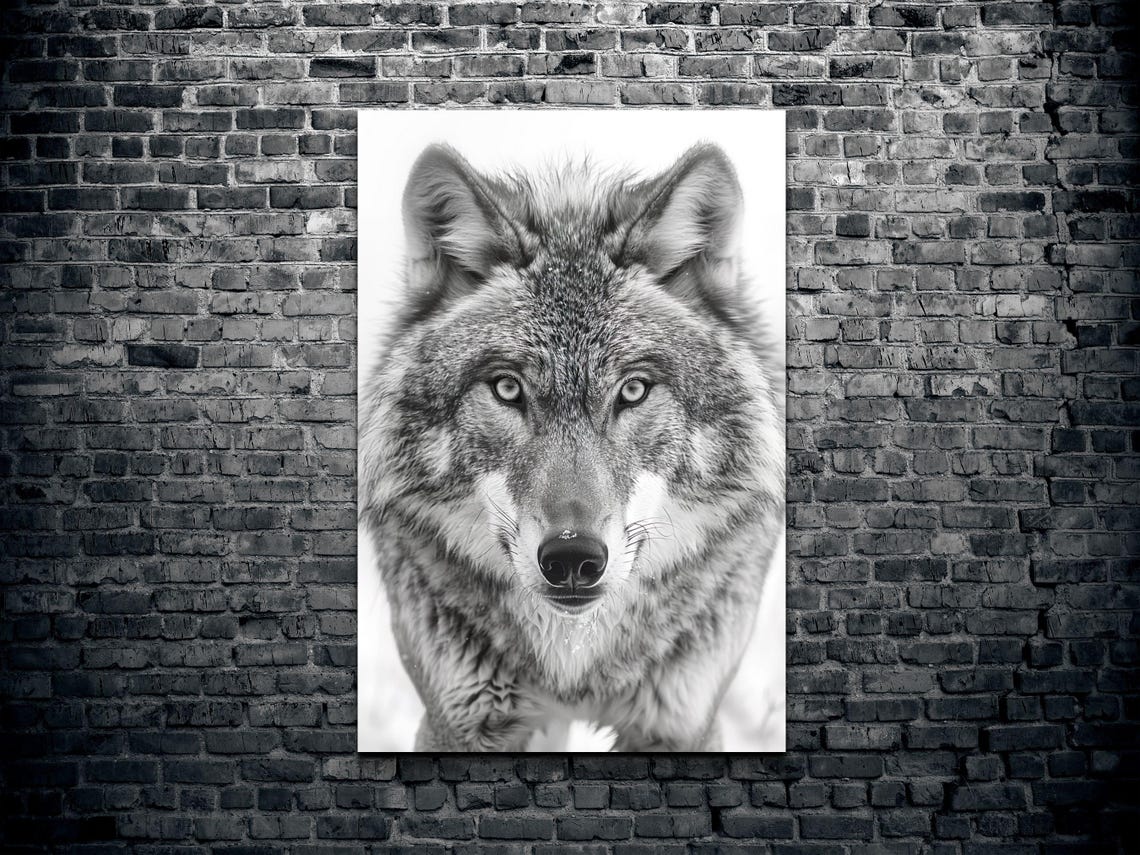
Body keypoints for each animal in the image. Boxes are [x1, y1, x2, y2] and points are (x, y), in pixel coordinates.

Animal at [359, 141, 784, 751]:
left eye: (633, 390)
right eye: (507, 388)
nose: (571, 557)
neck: (573, 663)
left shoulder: (681, 723)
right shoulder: (461, 721)